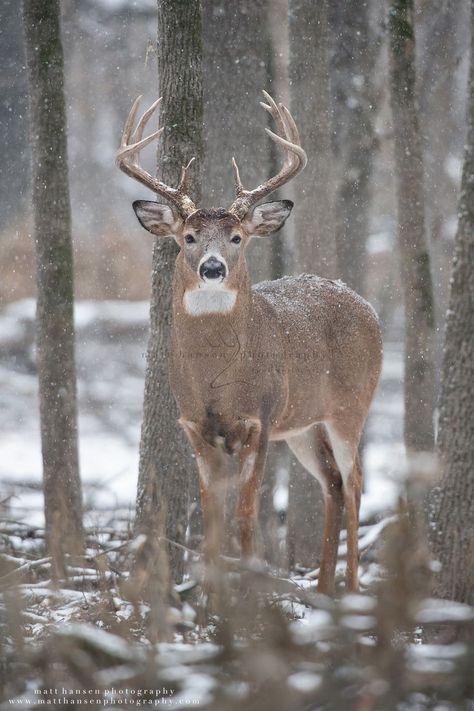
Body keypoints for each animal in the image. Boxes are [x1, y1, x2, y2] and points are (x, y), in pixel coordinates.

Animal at [116, 92, 384, 592]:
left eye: (238, 237)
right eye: (189, 237)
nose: (213, 267)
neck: (215, 379)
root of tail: (365, 305)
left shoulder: (259, 418)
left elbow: (245, 515)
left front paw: (247, 595)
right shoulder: (197, 427)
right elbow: (211, 523)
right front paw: (211, 600)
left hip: (350, 406)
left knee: (356, 481)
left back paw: (354, 589)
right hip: (302, 423)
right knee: (333, 483)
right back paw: (322, 588)